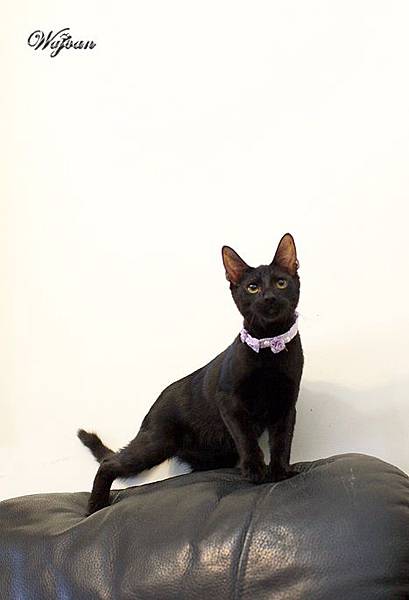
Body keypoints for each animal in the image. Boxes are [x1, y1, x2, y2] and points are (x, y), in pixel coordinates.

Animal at [78, 233, 304, 514]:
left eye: (281, 283)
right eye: (253, 287)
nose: (269, 298)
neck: (269, 348)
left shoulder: (286, 405)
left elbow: (283, 441)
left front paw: (281, 472)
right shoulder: (229, 403)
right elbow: (247, 439)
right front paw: (255, 471)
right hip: (156, 443)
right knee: (109, 464)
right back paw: (95, 505)